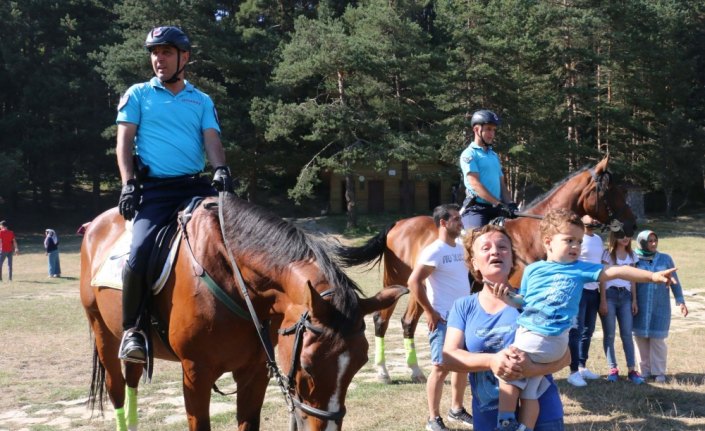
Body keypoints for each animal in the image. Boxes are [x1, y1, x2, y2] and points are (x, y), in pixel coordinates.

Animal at [79, 193, 404, 431]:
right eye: (308, 366)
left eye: (359, 364)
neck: (233, 276)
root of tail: (95, 224)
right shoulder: (195, 373)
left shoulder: (255, 371)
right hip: (102, 331)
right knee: (117, 389)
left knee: (132, 379)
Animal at [332, 157, 636, 384]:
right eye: (612, 192)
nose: (632, 225)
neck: (532, 235)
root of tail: (399, 224)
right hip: (397, 282)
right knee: (382, 321)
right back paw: (384, 372)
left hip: (418, 289)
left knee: (408, 322)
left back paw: (416, 371)